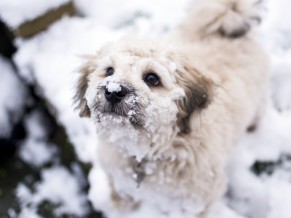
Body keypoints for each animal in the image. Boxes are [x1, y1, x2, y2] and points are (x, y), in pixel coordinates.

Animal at [74, 0, 270, 217]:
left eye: (152, 78)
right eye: (109, 71)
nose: (113, 91)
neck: (148, 152)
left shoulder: (201, 198)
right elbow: (120, 190)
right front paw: (122, 206)